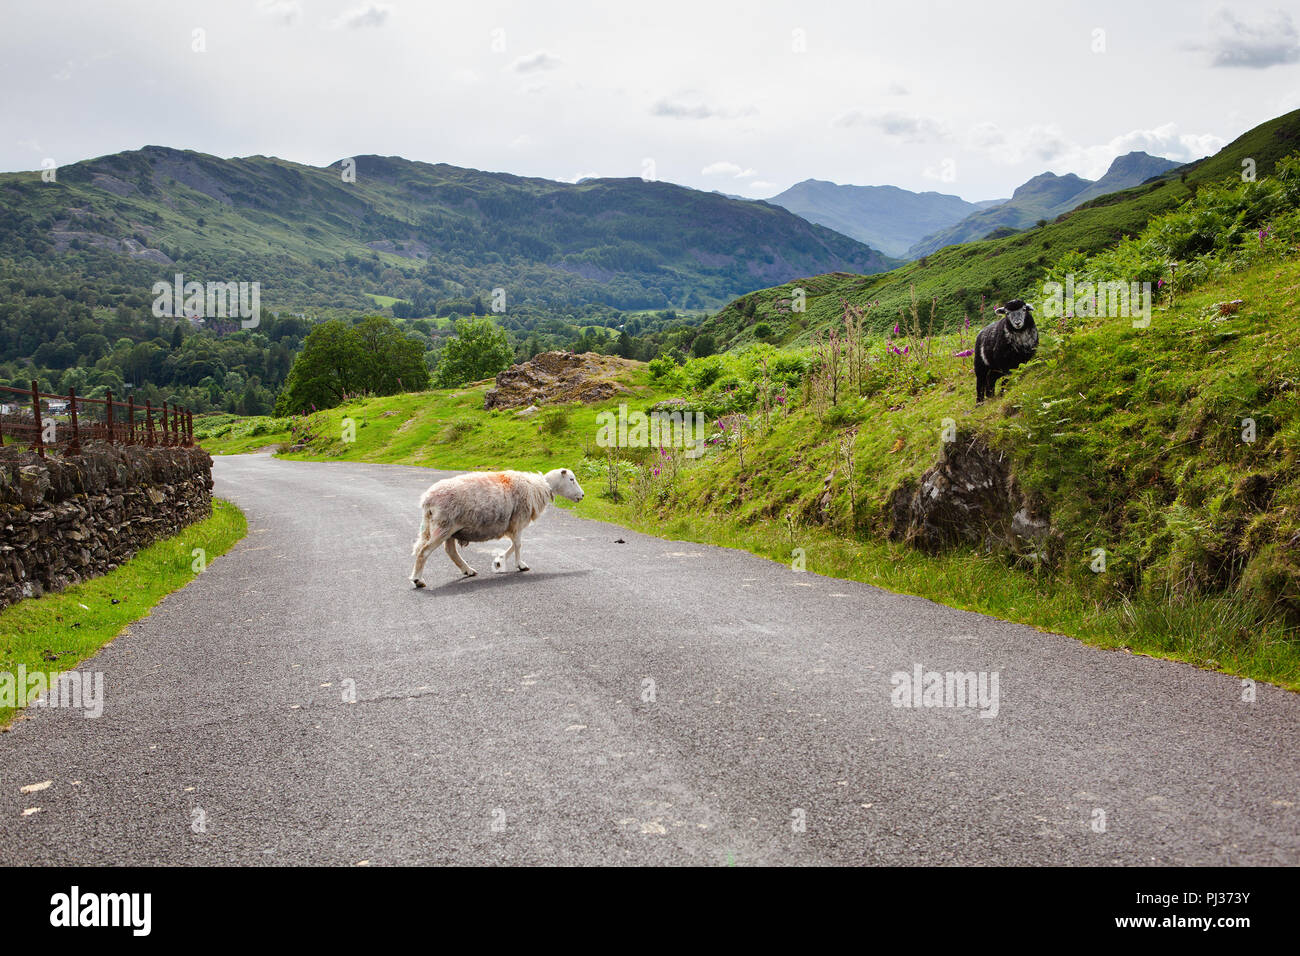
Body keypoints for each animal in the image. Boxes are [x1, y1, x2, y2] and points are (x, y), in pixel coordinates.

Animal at [410, 468, 585, 587]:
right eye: (571, 479)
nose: (583, 496)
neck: (538, 487)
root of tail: (427, 500)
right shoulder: (518, 520)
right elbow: (518, 544)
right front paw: (520, 565)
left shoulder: (513, 524)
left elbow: (514, 545)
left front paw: (500, 561)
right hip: (443, 526)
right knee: (424, 551)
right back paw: (418, 579)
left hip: (451, 529)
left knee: (450, 551)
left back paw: (468, 570)